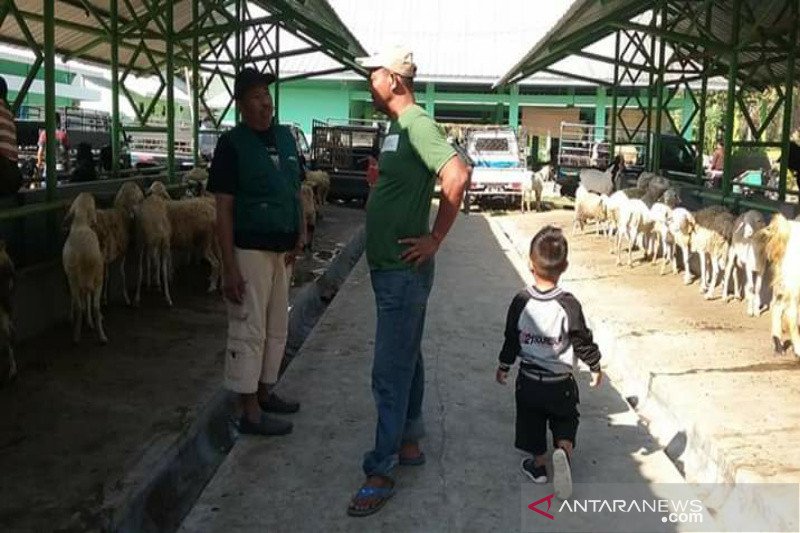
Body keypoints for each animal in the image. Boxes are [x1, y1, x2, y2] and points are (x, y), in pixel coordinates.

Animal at [63, 193, 108, 342]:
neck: (80, 224)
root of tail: (85, 255)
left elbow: (82, 302)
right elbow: (87, 301)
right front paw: (89, 322)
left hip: (75, 280)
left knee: (79, 305)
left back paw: (77, 335)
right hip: (97, 278)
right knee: (95, 307)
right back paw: (101, 336)